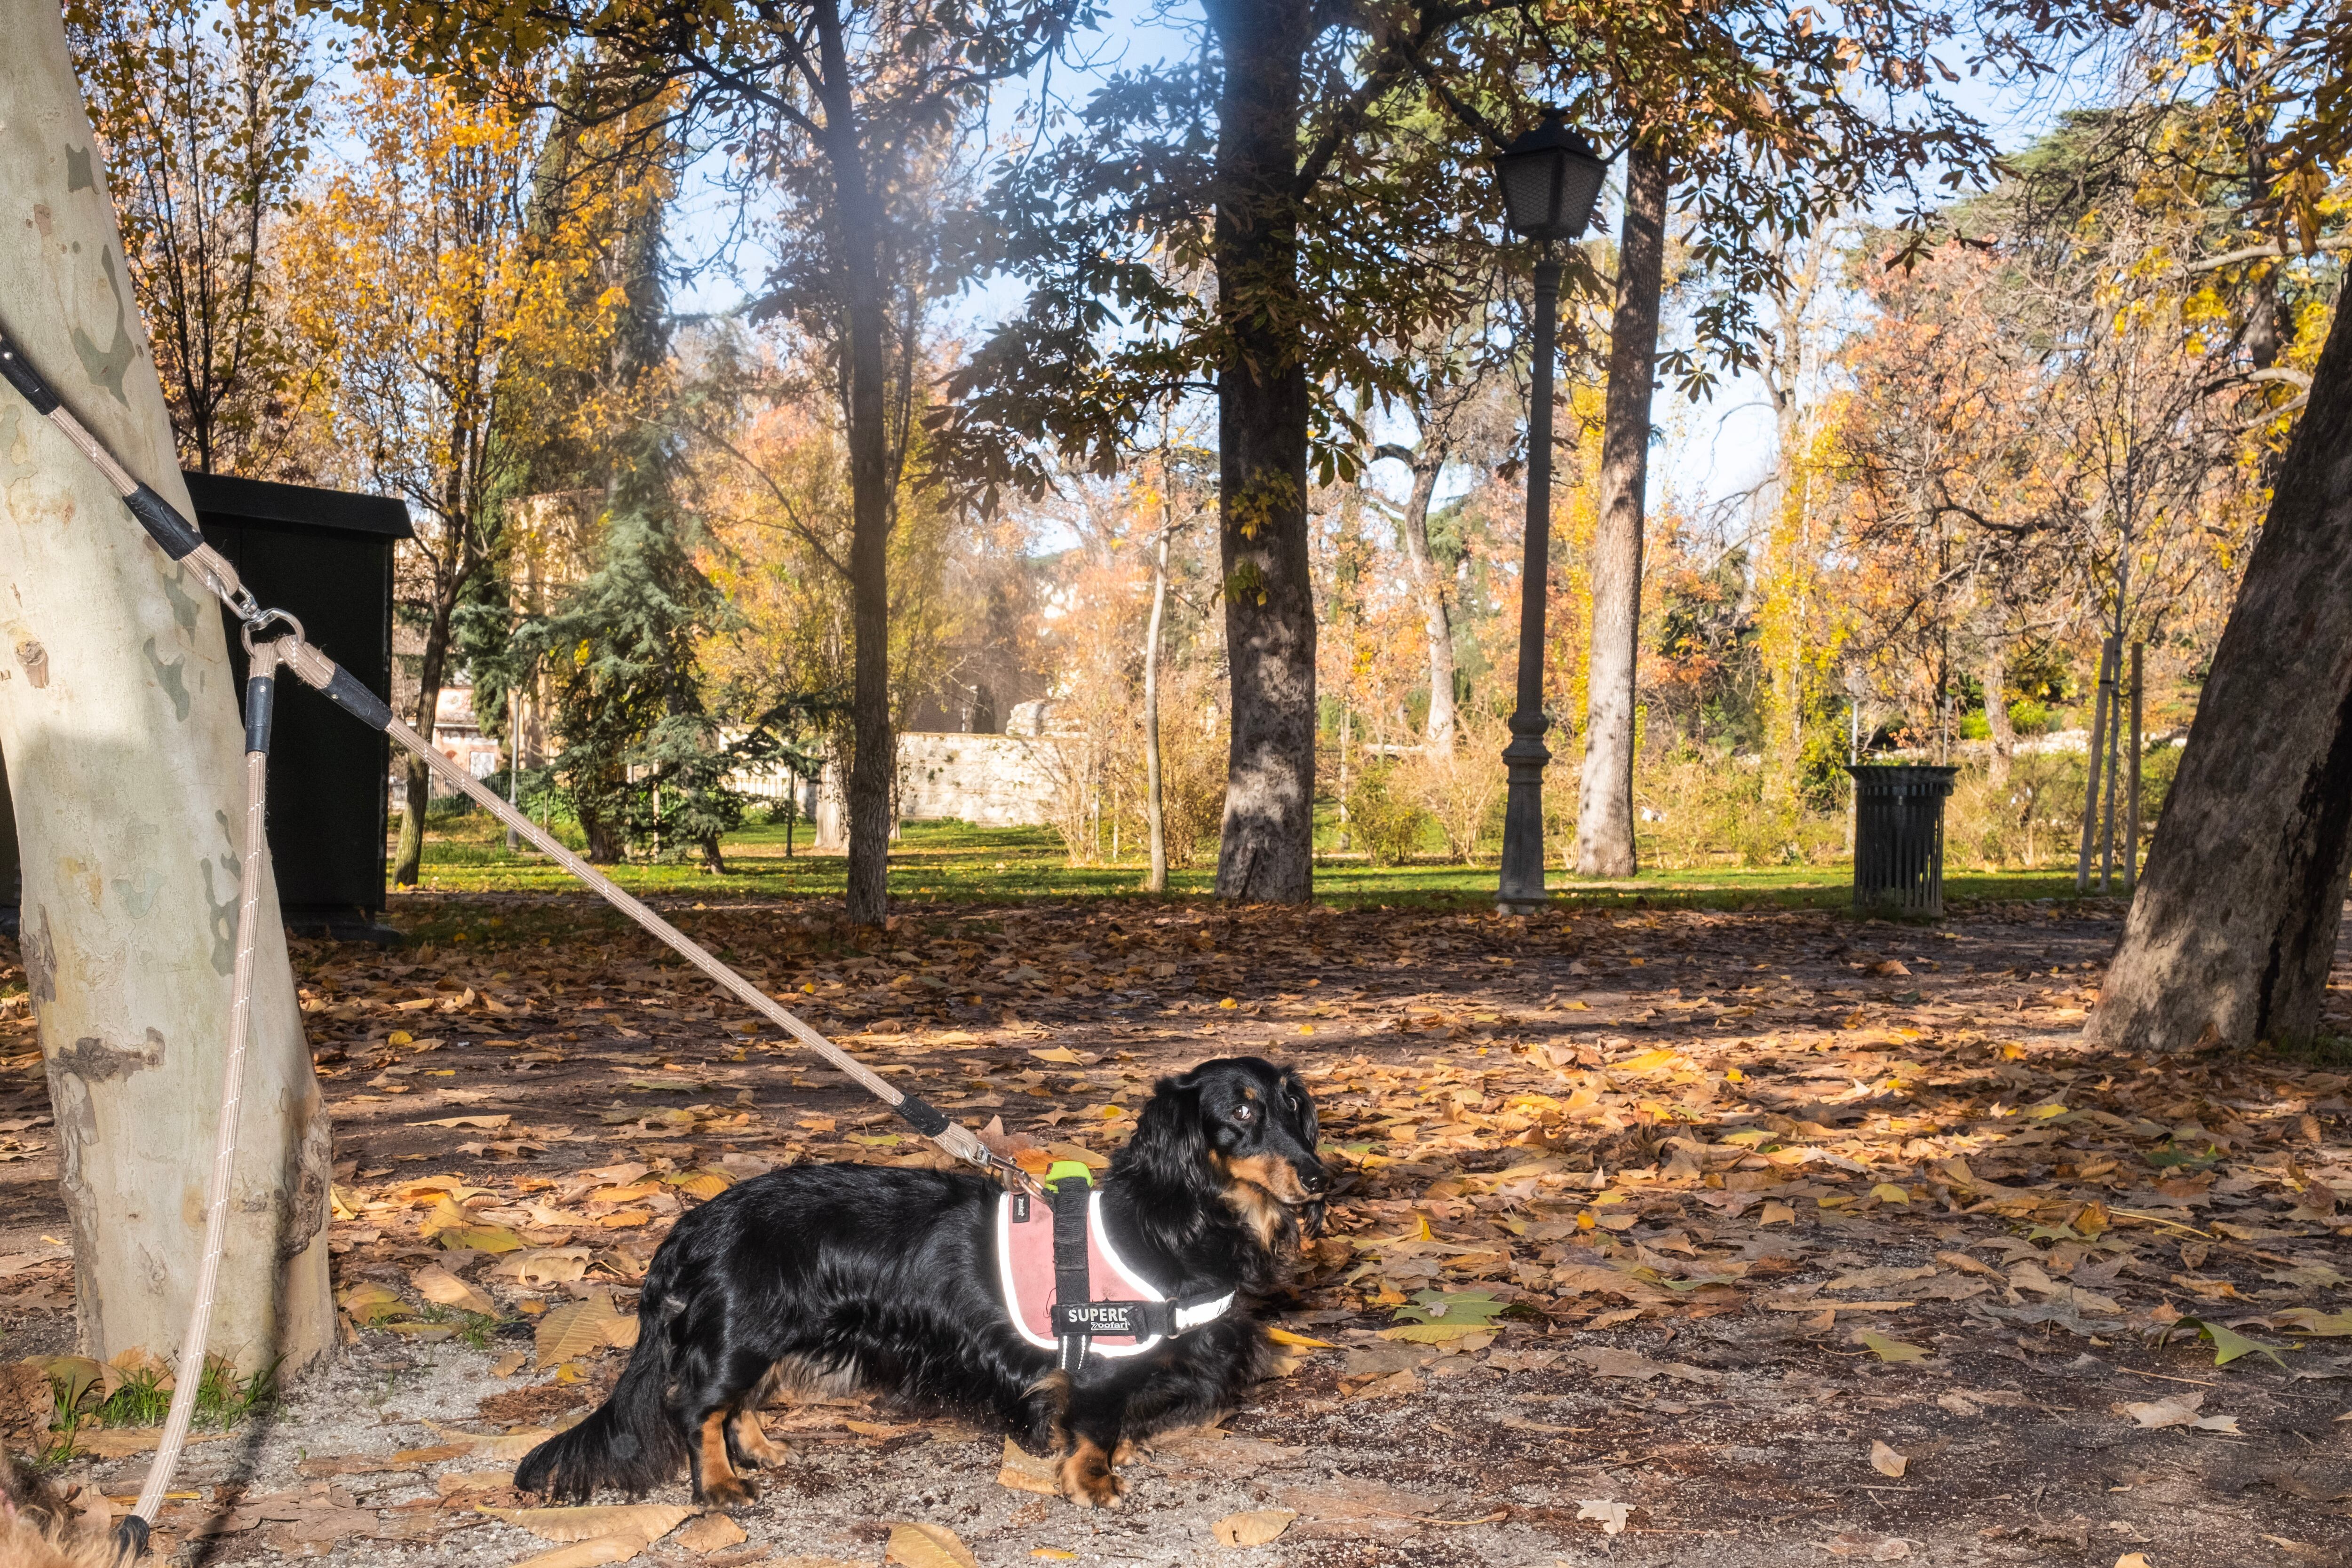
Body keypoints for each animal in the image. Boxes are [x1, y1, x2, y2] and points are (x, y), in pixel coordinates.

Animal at [515, 1053, 1327, 1505]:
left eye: (1295, 1111)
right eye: (1239, 1112)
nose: (1320, 1178)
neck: (1175, 1219)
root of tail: (700, 1219)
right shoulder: (1099, 1356)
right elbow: (1096, 1428)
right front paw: (1092, 1483)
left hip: (756, 1335)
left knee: (731, 1402)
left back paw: (761, 1449)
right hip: (739, 1331)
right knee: (697, 1409)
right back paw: (718, 1485)